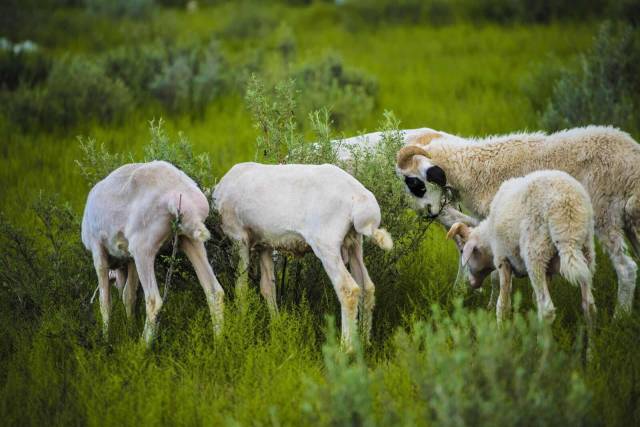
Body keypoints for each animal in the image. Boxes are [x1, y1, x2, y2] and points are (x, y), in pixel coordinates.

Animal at [82, 160, 225, 344]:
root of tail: (179, 197)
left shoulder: (97, 249)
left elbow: (105, 301)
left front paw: (106, 339)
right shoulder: (130, 259)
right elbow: (129, 295)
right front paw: (130, 328)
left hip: (143, 245)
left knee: (153, 301)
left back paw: (142, 346)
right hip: (189, 239)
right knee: (214, 291)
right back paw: (219, 343)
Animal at [212, 162, 392, 350]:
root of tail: (361, 200)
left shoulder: (239, 238)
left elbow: (241, 288)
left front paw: (240, 324)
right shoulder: (265, 244)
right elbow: (268, 287)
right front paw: (277, 328)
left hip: (326, 243)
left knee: (348, 289)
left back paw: (346, 347)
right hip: (354, 241)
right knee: (367, 287)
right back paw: (364, 341)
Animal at [444, 170, 596, 324]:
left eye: (464, 251)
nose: (472, 283)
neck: (488, 237)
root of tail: (567, 204)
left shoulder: (503, 260)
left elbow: (503, 304)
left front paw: (501, 325)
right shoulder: (547, 271)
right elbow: (533, 298)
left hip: (535, 252)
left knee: (546, 309)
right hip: (586, 250)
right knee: (588, 304)